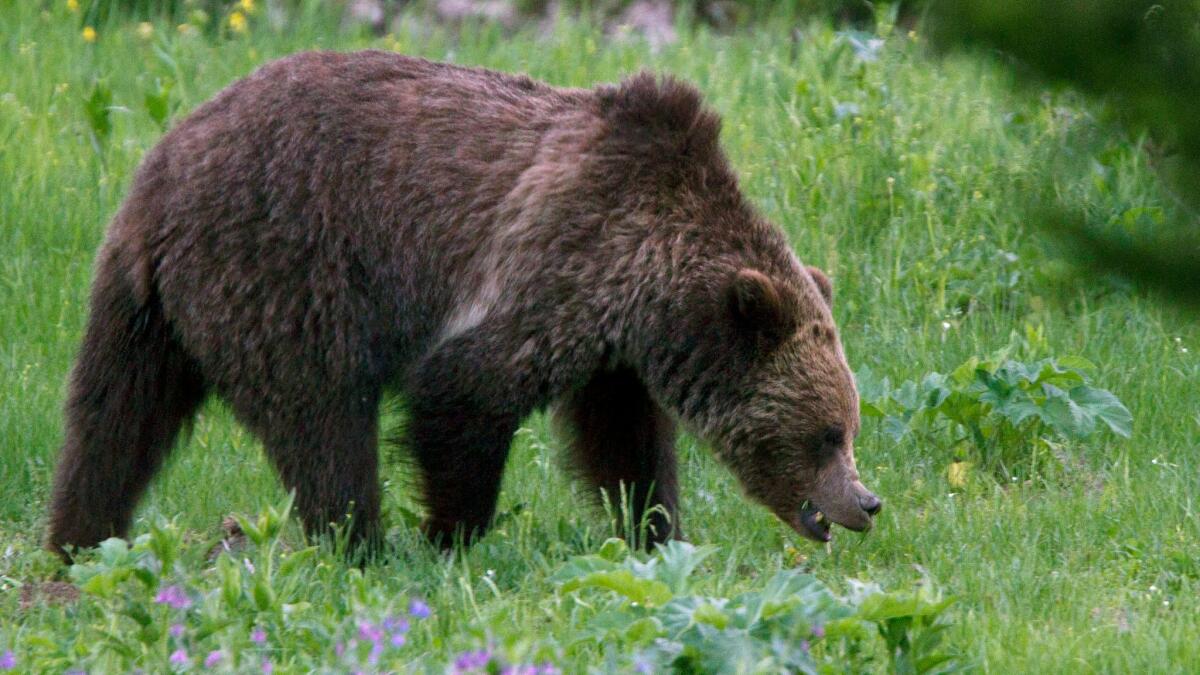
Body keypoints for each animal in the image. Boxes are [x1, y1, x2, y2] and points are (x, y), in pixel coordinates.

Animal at [44, 49, 883, 557]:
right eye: (826, 433)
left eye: (847, 425)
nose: (866, 501)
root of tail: (162, 172)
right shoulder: (557, 259)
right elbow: (464, 390)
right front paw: (453, 535)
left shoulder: (612, 347)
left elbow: (623, 441)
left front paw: (655, 530)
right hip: (283, 270)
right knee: (323, 421)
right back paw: (362, 543)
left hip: (146, 308)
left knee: (114, 419)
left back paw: (78, 539)